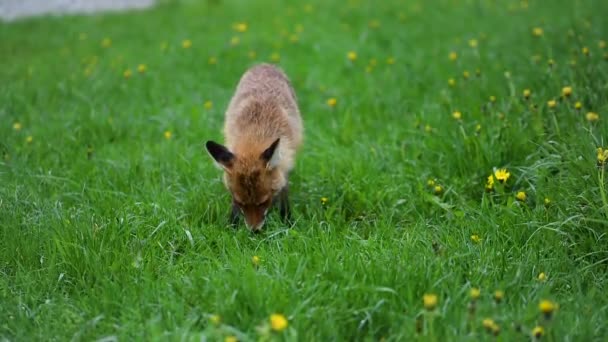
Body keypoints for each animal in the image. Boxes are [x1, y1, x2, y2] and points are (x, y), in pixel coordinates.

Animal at [205, 62, 302, 231]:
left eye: (263, 202)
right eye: (241, 203)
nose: (254, 231)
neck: (256, 132)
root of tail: (264, 64)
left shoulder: (286, 161)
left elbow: (284, 192)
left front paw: (287, 222)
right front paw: (232, 225)